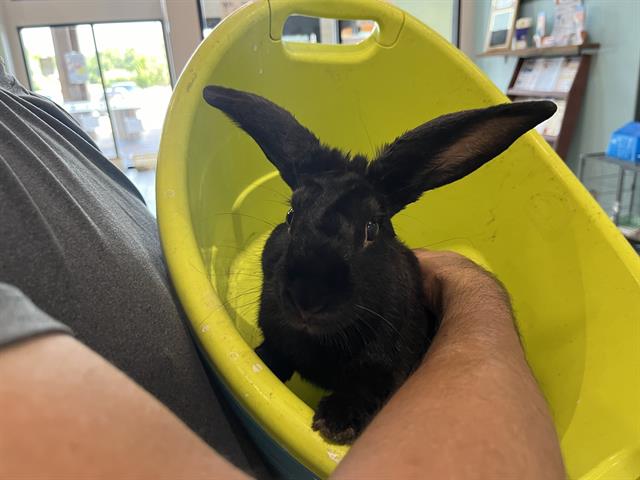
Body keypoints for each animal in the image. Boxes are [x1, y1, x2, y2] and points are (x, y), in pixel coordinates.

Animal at [203, 85, 556, 444]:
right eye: (290, 217)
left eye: (371, 229)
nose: (307, 300)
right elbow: (275, 354)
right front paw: (258, 361)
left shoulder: (386, 369)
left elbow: (365, 389)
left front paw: (336, 423)